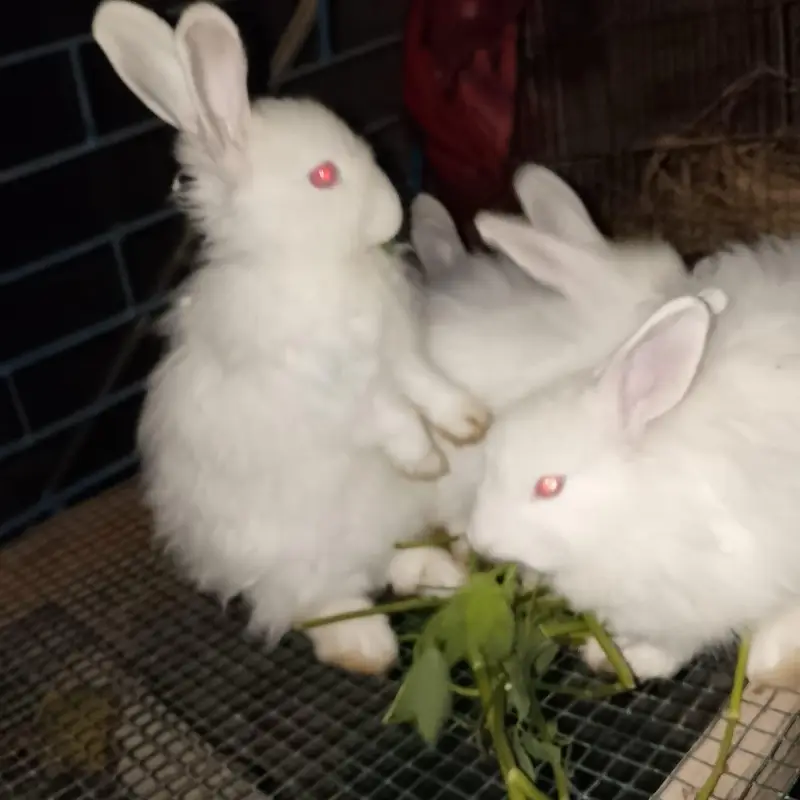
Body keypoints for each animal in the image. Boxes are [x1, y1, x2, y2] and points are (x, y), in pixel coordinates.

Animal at [93, 0, 493, 676]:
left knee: (394, 561)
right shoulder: (325, 388)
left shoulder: (400, 350)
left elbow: (426, 386)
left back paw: (442, 573)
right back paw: (366, 645)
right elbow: (386, 415)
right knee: (321, 603)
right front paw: (424, 456)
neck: (316, 263)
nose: (392, 214)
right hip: (297, 556)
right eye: (323, 176)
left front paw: (467, 424)